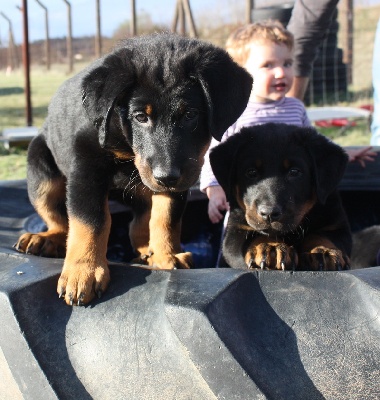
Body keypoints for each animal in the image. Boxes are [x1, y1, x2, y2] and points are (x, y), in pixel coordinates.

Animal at [14, 32, 252, 304]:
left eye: (190, 114)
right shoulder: (86, 166)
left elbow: (165, 219)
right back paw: (44, 239)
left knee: (137, 225)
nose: (166, 176)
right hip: (41, 175)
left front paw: (166, 256)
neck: (127, 146)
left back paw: (150, 252)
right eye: (140, 117)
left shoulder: (177, 178)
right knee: (58, 220)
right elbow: (90, 220)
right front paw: (83, 270)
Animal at [209, 123, 352, 270]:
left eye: (294, 172)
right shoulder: (235, 231)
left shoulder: (337, 226)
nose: (269, 214)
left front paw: (324, 251)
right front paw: (270, 248)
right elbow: (255, 235)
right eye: (251, 172)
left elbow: (319, 235)